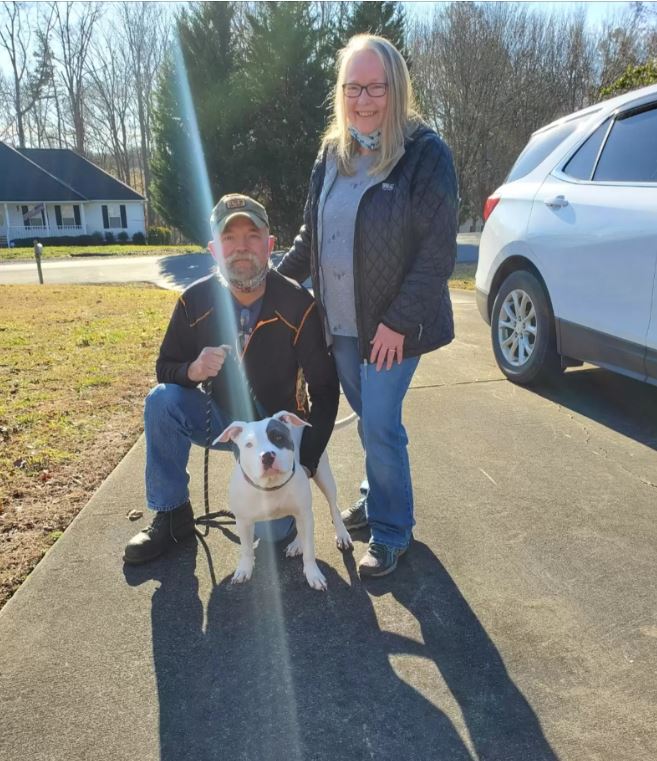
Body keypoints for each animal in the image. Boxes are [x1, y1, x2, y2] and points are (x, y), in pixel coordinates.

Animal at [215, 412, 352, 592]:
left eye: (278, 437)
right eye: (249, 445)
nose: (267, 456)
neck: (271, 487)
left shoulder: (303, 511)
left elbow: (310, 551)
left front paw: (313, 574)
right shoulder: (243, 521)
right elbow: (246, 549)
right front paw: (244, 569)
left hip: (323, 474)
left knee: (333, 508)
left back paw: (341, 535)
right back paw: (297, 543)